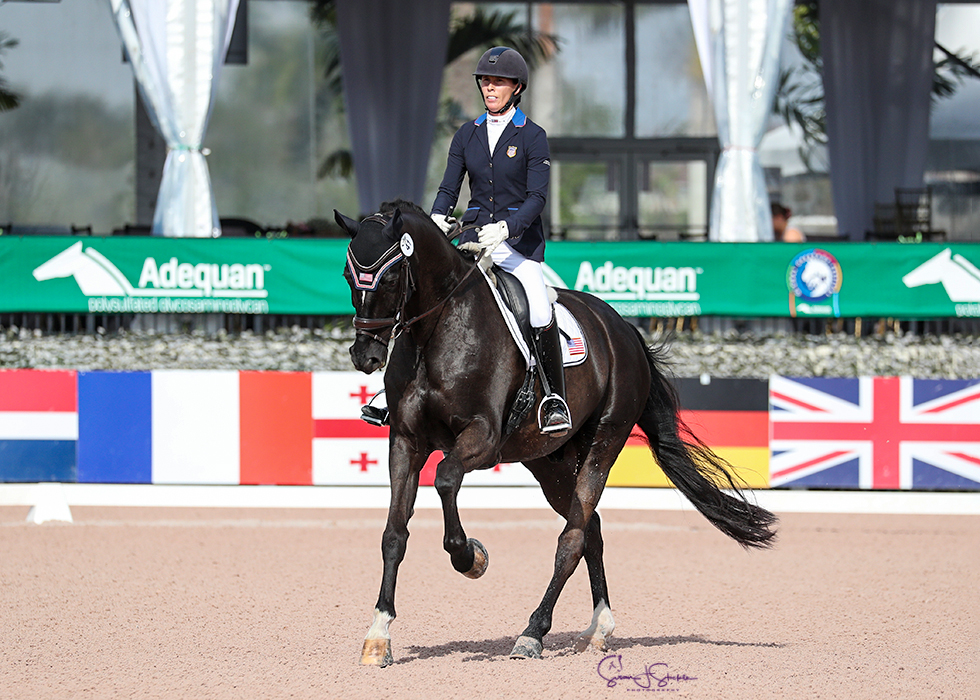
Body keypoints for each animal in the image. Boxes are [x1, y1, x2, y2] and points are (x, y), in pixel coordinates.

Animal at [334, 200, 776, 664]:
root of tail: (623, 329)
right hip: (548, 461)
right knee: (590, 527)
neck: (435, 331)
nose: (365, 356)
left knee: (573, 537)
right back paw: (599, 627)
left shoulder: (482, 437)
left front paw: (470, 557)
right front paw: (379, 633)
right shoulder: (405, 441)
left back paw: (533, 632)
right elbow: (394, 533)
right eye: (347, 274)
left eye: (390, 276)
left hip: (603, 443)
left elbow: (446, 479)